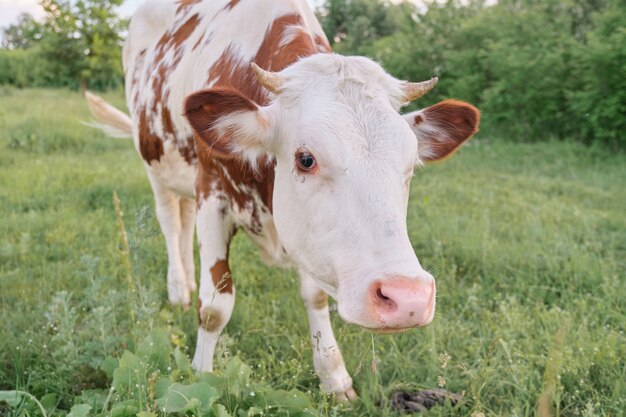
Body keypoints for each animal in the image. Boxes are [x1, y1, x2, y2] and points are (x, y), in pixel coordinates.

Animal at [86, 0, 478, 400]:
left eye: (410, 164)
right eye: (305, 159)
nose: (407, 298)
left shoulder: (307, 236)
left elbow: (315, 296)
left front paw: (334, 377)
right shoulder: (211, 191)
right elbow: (215, 306)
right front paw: (200, 379)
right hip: (153, 162)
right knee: (170, 222)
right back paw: (179, 288)